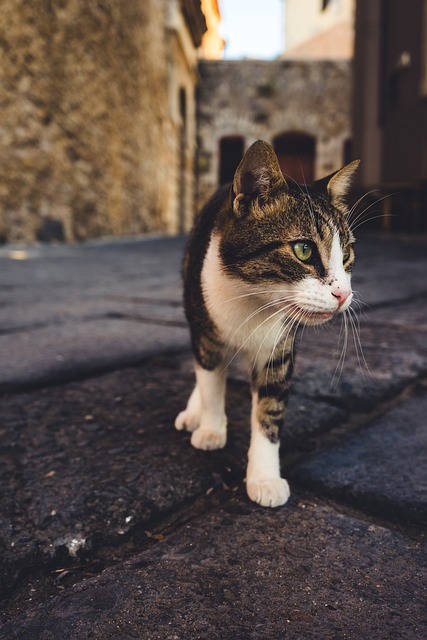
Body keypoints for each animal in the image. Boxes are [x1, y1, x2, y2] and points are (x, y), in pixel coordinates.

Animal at [176, 142, 360, 508]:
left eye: (347, 254)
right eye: (303, 249)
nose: (343, 294)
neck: (253, 302)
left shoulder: (279, 347)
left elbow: (270, 408)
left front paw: (264, 478)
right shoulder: (207, 333)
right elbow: (210, 382)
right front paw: (211, 428)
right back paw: (195, 412)